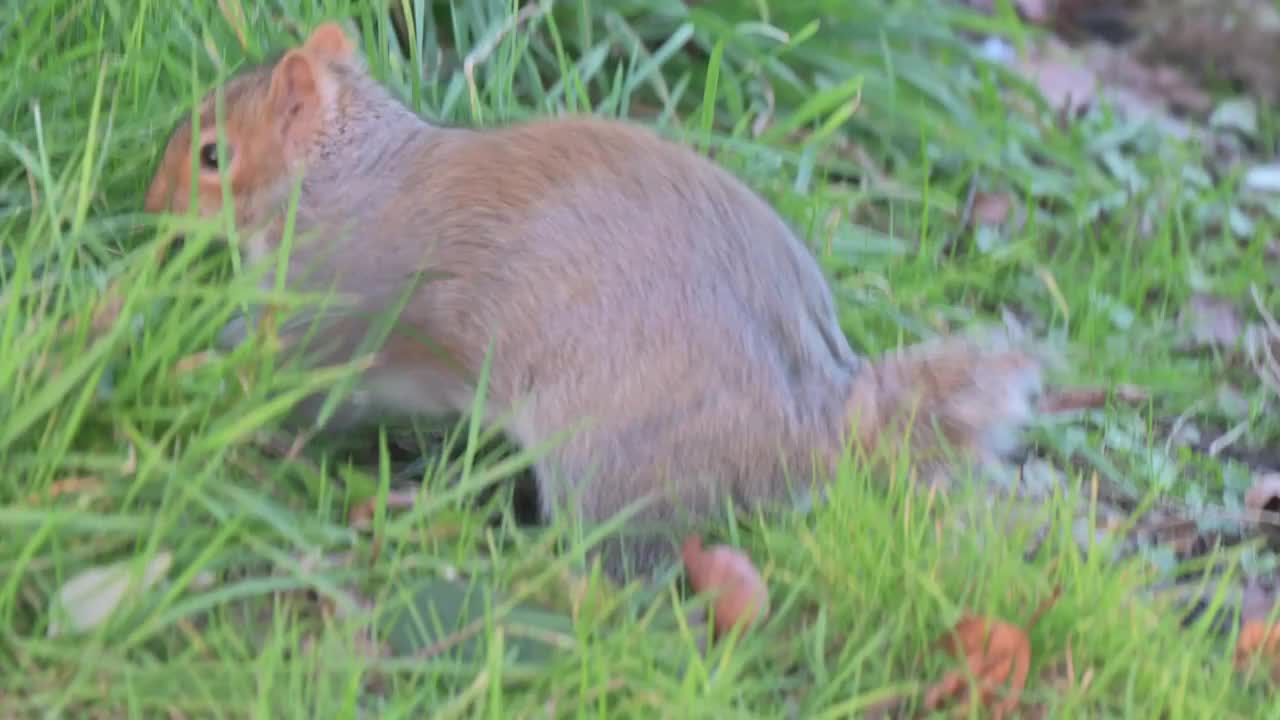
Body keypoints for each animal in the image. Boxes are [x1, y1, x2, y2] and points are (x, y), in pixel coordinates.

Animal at [147, 22, 1049, 579]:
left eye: (214, 156)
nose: (154, 206)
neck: (346, 174)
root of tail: (810, 424)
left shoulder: (339, 300)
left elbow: (284, 376)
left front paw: (178, 368)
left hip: (611, 455)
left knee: (621, 564)